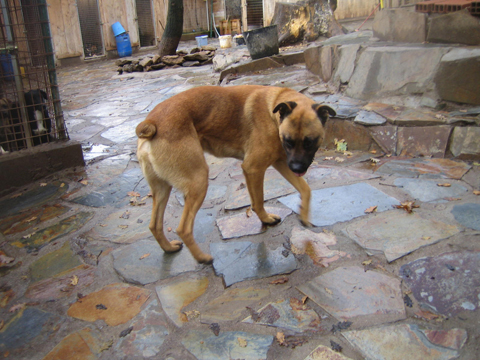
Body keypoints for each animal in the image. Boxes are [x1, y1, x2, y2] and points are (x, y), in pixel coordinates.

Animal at [137, 86, 336, 262]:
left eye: (309, 142)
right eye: (288, 141)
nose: (297, 168)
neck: (273, 112)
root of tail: (152, 122)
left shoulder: (281, 163)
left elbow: (306, 189)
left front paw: (303, 214)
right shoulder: (254, 168)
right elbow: (258, 202)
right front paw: (266, 219)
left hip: (162, 189)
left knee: (154, 225)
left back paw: (169, 248)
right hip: (198, 182)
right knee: (183, 229)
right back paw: (202, 258)